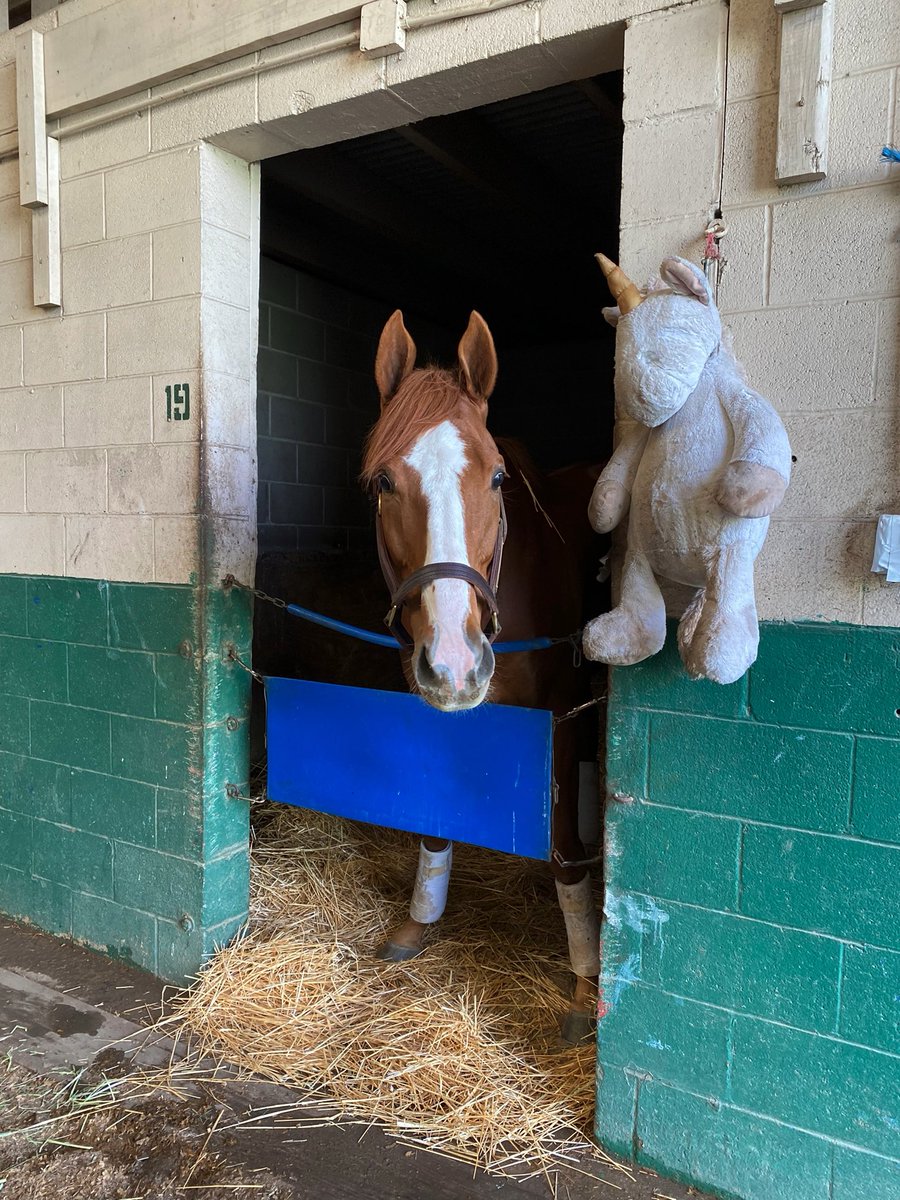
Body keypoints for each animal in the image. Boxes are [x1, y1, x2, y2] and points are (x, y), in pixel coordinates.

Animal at [361, 309, 604, 1043]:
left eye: (497, 478)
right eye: (383, 483)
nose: (455, 657)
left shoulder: (559, 716)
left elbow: (561, 847)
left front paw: (585, 980)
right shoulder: (430, 699)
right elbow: (433, 816)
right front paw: (419, 920)